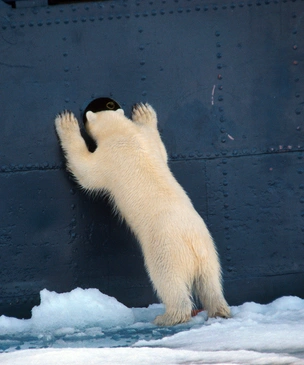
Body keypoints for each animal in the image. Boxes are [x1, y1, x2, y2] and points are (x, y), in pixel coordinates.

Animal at [55, 102, 230, 324]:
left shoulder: (109, 157)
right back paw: (219, 310)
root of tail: (193, 245)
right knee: (210, 282)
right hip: (209, 250)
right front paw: (144, 113)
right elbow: (161, 150)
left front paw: (66, 123)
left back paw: (168, 316)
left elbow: (85, 171)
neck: (124, 133)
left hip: (166, 249)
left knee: (168, 280)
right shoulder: (146, 140)